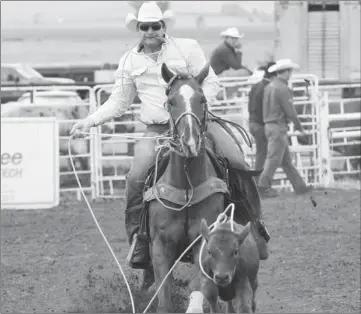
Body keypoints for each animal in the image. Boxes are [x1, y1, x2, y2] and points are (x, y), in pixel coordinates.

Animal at [143, 62, 228, 312]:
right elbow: (163, 297)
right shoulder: (160, 247)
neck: (186, 188)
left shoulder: (203, 242)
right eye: (171, 101)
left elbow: (199, 286)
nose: (189, 142)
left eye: (202, 99)